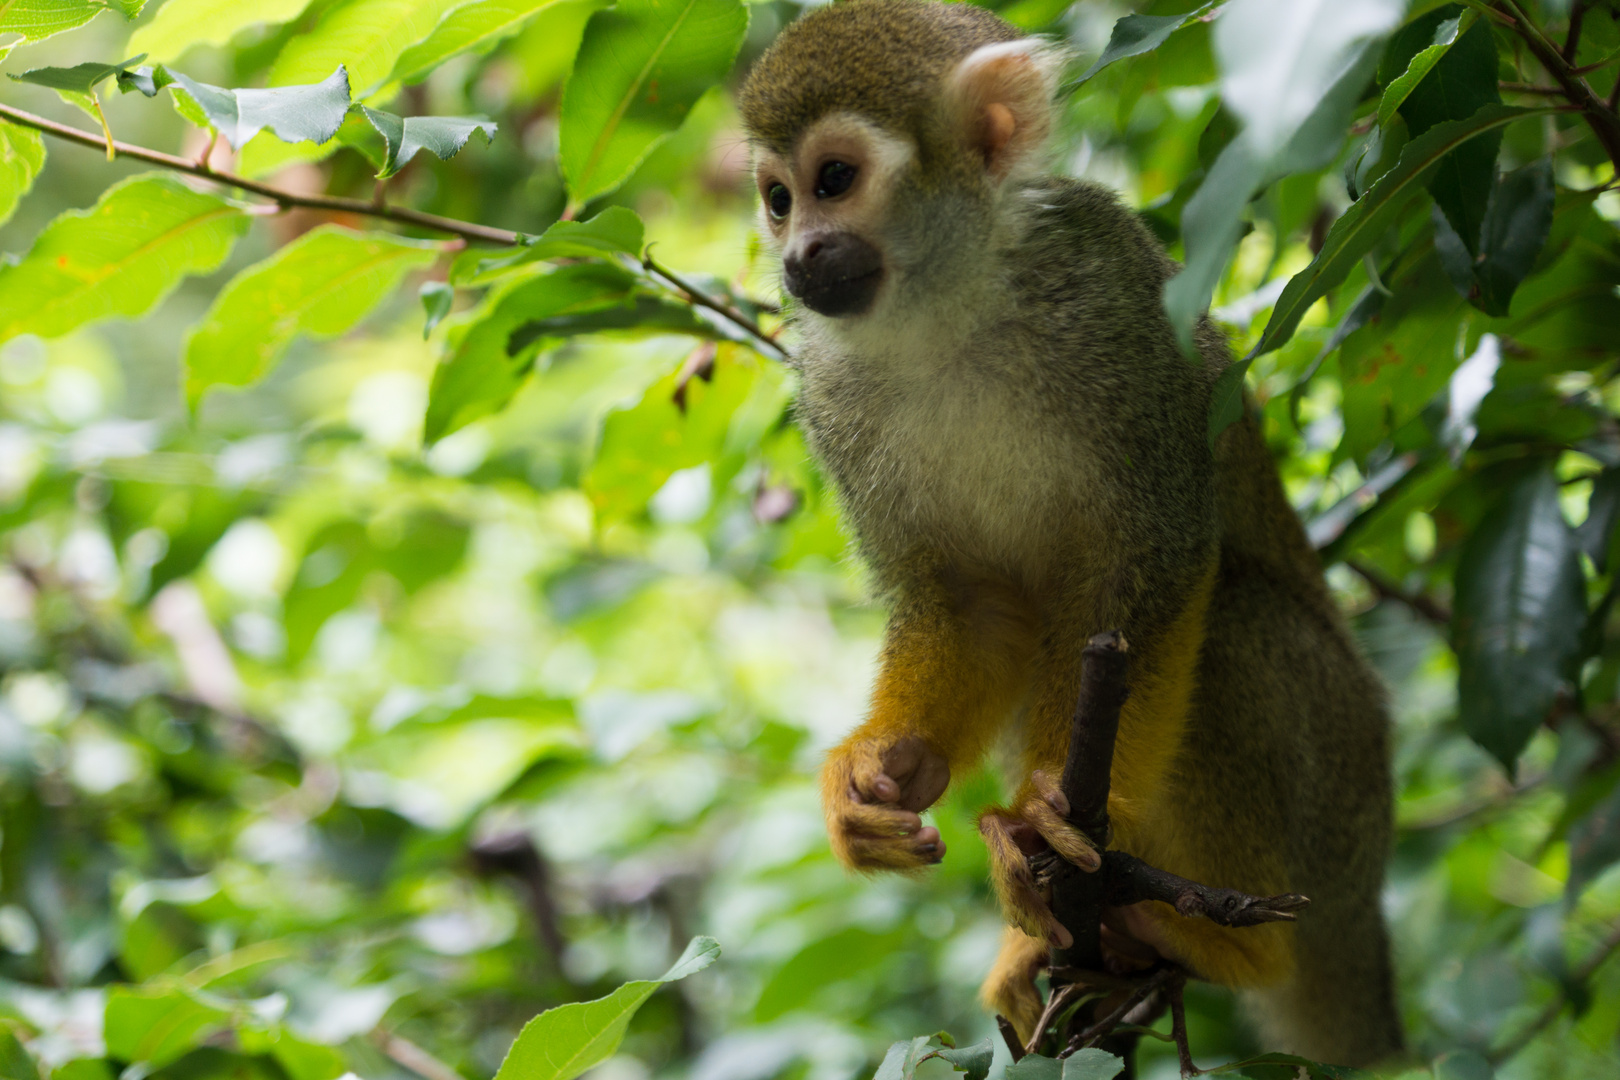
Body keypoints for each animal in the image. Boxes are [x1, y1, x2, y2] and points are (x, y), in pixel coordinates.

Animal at [741, 0, 1399, 1062]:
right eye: (776, 198)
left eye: (833, 180)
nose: (799, 257)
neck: (947, 312)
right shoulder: (831, 397)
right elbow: (967, 606)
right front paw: (883, 771)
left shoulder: (1119, 304)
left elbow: (1158, 561)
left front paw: (1049, 808)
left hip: (1340, 813)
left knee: (1235, 625)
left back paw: (1227, 944)